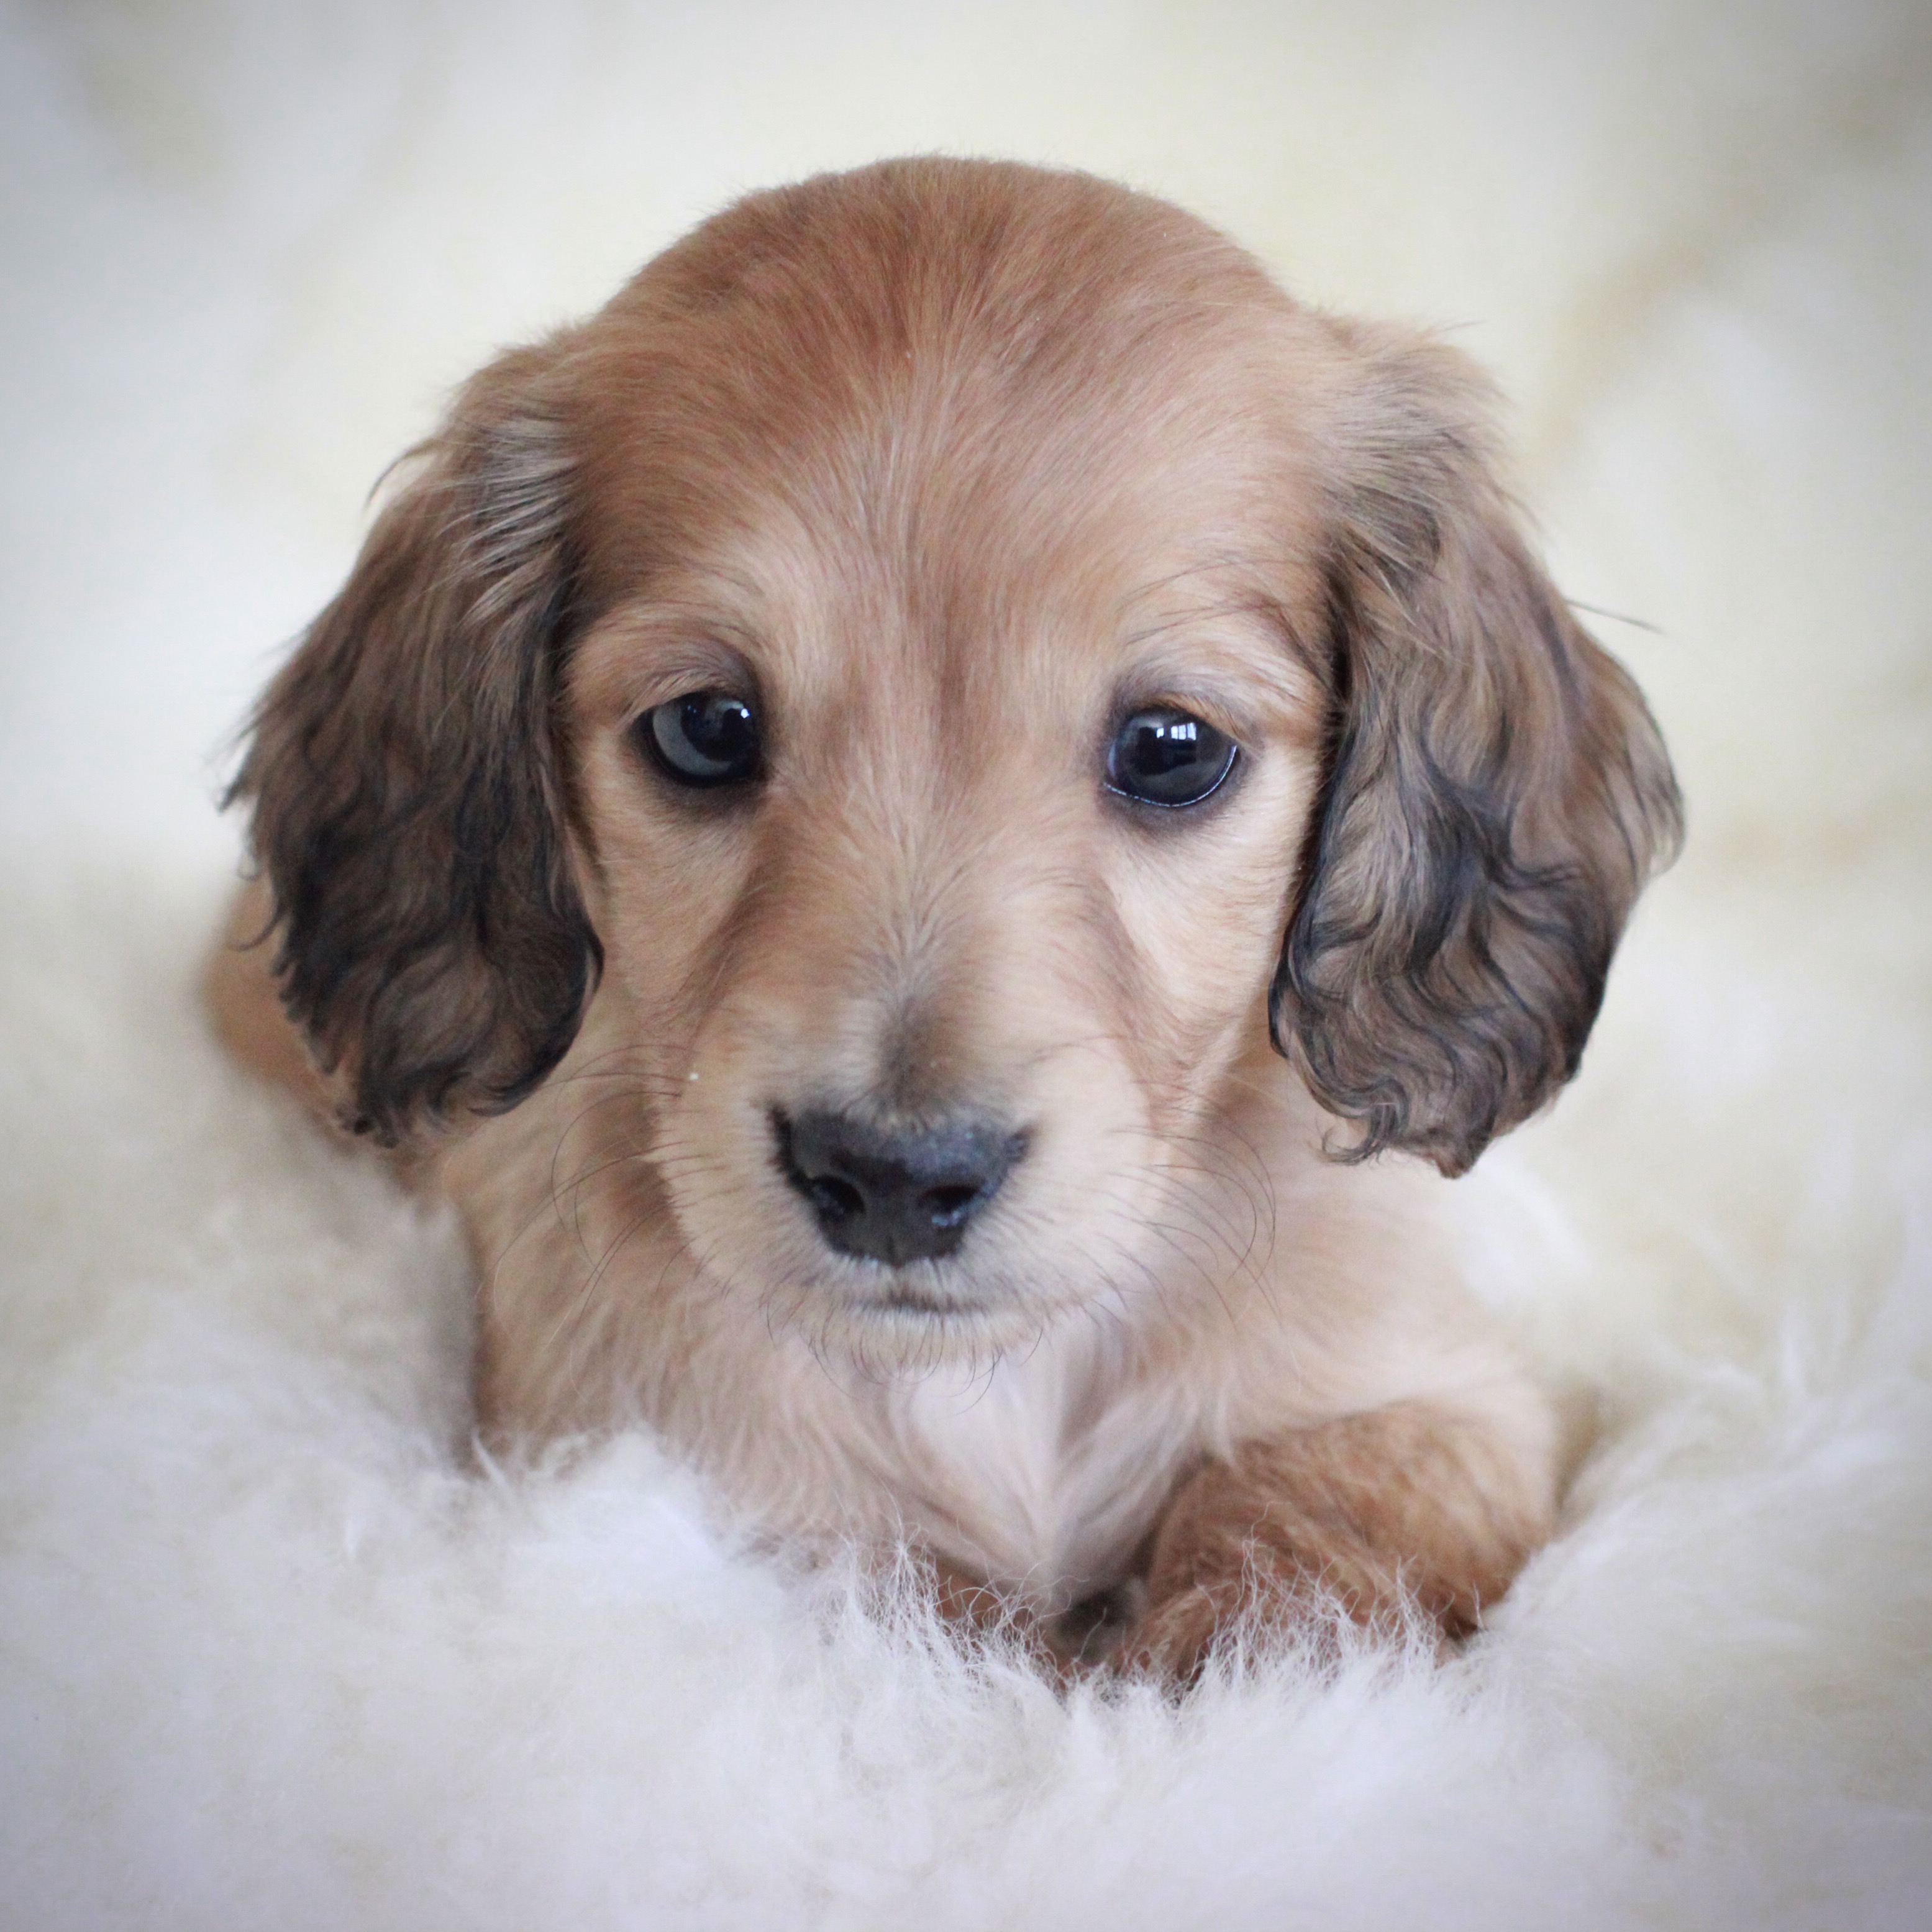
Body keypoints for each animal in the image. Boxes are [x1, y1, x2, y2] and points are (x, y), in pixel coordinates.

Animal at [211, 158, 1684, 1684]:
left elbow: (1312, 1550)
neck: (1004, 1381)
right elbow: (925, 1608)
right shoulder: (682, 1498)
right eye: (705, 728)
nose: (892, 1182)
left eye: (1173, 749)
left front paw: (1211, 1685)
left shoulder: (1444, 1409)